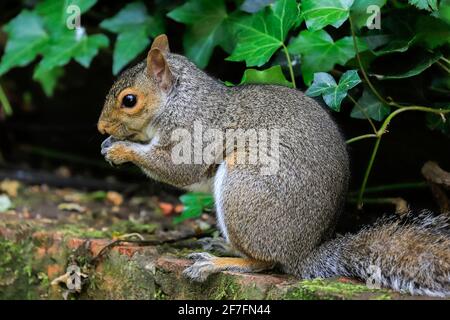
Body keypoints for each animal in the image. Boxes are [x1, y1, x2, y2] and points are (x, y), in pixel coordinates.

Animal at [96, 35, 448, 298]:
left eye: (129, 100)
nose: (100, 128)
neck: (178, 100)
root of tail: (301, 254)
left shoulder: (193, 132)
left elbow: (176, 168)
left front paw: (122, 150)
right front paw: (109, 144)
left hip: (244, 187)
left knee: (263, 263)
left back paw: (216, 262)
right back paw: (222, 245)